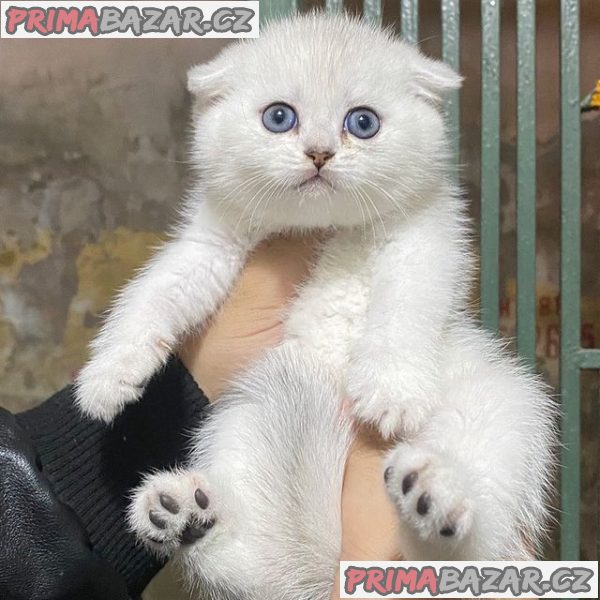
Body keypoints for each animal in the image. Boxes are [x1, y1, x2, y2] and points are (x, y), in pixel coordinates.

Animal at [75, 14, 556, 600]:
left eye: (363, 122)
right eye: (279, 117)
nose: (321, 152)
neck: (324, 229)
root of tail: (332, 568)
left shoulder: (428, 240)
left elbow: (407, 304)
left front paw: (391, 387)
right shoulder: (211, 244)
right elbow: (154, 291)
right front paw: (108, 375)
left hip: (501, 405)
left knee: (473, 542)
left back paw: (433, 500)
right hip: (246, 416)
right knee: (250, 567)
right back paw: (181, 515)